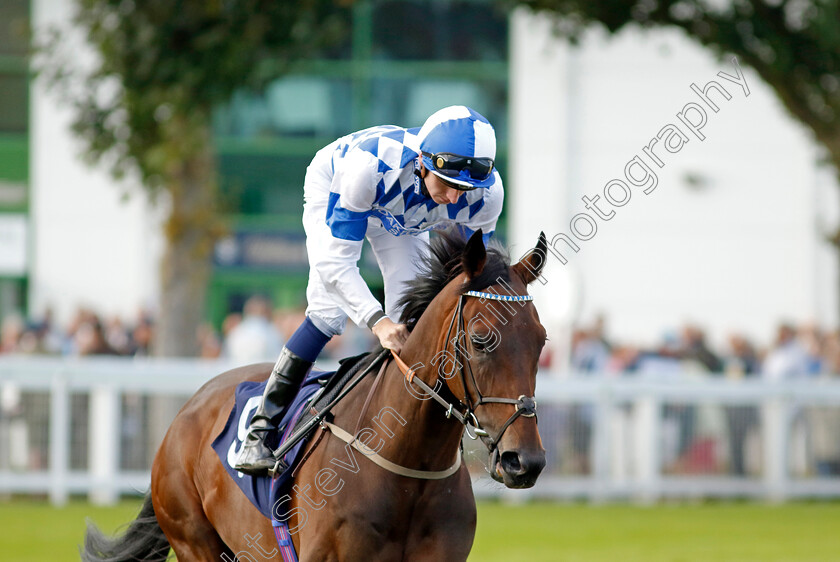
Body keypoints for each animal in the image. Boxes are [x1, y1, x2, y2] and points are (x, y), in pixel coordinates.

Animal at [82, 229, 548, 560]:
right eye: (482, 339)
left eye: (541, 340)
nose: (525, 461)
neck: (408, 466)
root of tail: (189, 407)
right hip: (193, 539)